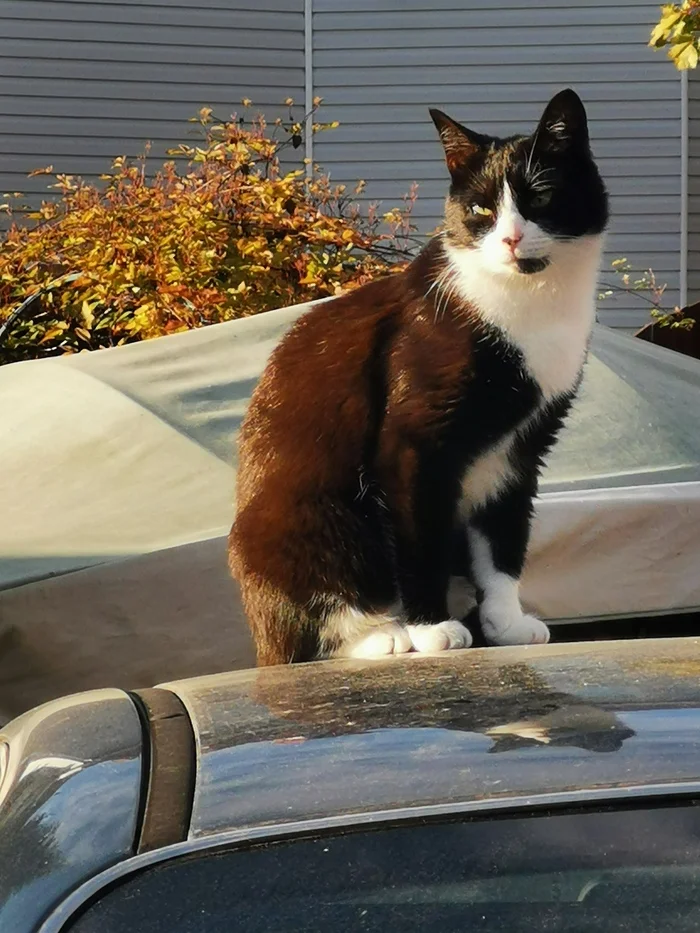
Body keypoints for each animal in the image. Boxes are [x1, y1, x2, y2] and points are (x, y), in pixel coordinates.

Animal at [230, 89, 608, 664]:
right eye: (480, 209)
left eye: (540, 197)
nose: (511, 239)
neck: (528, 305)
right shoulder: (413, 445)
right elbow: (420, 538)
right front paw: (432, 627)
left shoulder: (522, 450)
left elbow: (504, 539)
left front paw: (506, 622)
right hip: (315, 520)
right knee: (311, 627)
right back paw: (383, 633)